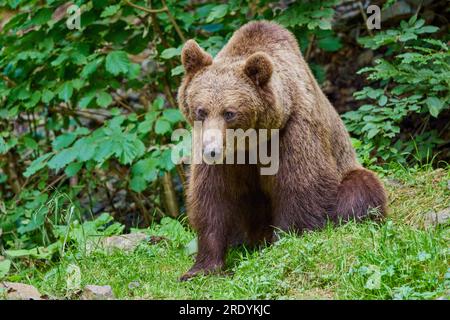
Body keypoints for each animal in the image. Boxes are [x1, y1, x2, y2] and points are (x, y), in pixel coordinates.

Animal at [176, 20, 386, 280]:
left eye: (229, 112)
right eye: (201, 110)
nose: (211, 150)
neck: (252, 141)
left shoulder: (293, 131)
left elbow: (299, 186)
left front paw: (283, 243)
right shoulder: (223, 158)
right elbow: (214, 199)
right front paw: (201, 268)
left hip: (348, 169)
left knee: (360, 188)